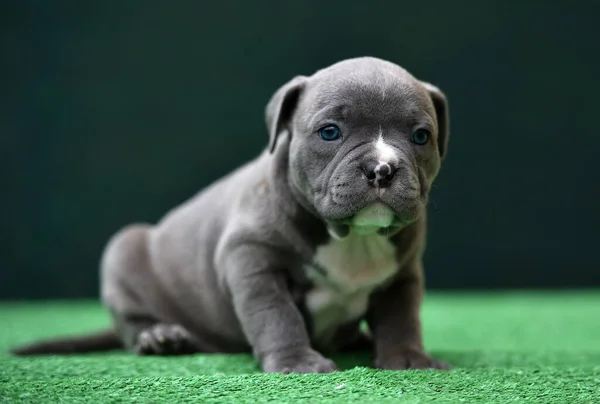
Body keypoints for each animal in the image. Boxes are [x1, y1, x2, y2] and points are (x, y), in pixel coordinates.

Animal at [11, 56, 450, 372]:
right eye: (329, 132)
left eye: (420, 136)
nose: (382, 168)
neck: (352, 237)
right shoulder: (252, 260)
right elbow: (276, 315)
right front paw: (296, 363)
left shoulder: (403, 274)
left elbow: (401, 317)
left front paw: (409, 358)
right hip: (124, 250)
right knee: (132, 321)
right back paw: (160, 338)